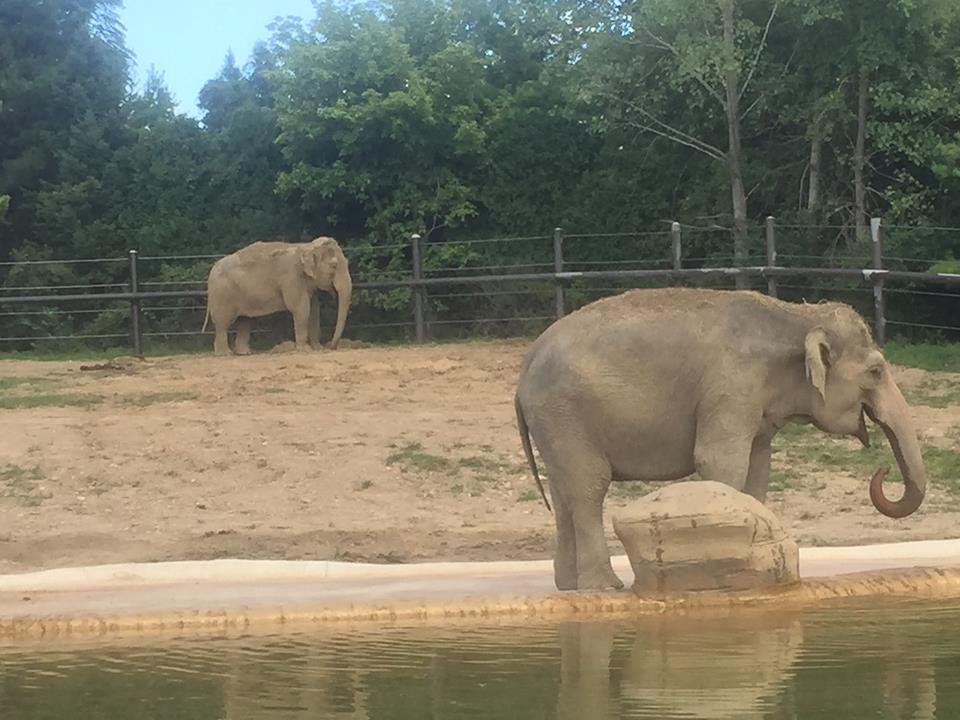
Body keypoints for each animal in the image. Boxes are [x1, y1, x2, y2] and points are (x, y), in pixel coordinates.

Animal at [201, 236, 353, 355]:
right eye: (334, 266)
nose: (331, 346)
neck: (306, 246)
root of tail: (211, 272)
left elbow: (314, 310)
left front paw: (318, 349)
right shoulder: (292, 277)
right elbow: (301, 308)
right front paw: (305, 350)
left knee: (245, 321)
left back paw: (244, 353)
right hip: (222, 295)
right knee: (223, 323)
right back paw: (224, 354)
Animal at [515, 287, 928, 591]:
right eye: (876, 372)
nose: (882, 469)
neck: (795, 317)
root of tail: (527, 363)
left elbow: (758, 470)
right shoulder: (731, 386)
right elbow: (720, 462)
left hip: (554, 421)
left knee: (563, 489)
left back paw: (569, 586)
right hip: (564, 412)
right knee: (589, 485)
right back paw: (605, 587)